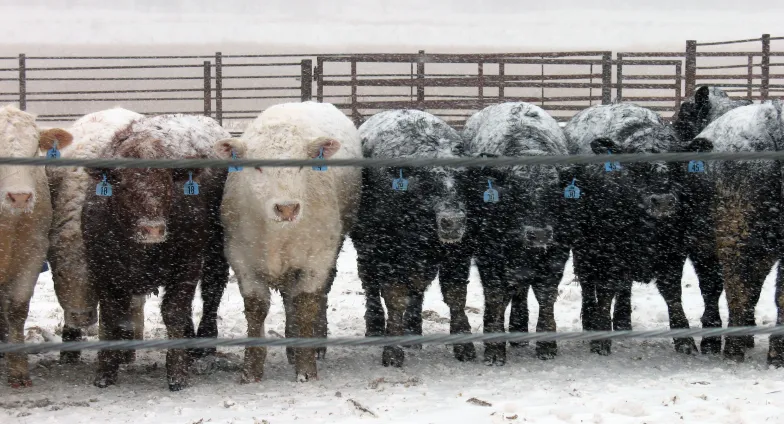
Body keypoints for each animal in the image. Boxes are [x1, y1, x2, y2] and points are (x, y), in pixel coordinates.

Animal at [81, 114, 230, 390]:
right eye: (124, 185)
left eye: (167, 183)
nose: (153, 229)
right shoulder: (102, 268)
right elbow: (112, 315)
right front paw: (106, 369)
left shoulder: (187, 263)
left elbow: (173, 312)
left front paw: (177, 372)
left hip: (217, 250)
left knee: (212, 291)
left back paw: (204, 344)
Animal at [215, 101, 362, 382]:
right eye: (257, 166)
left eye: (302, 165)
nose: (287, 208)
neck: (277, 234)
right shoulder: (241, 258)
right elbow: (256, 308)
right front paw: (251, 370)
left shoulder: (317, 258)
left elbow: (305, 304)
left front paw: (306, 369)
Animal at [352, 109, 474, 367]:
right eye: (427, 182)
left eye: (465, 180)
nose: (452, 221)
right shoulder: (389, 253)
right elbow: (395, 298)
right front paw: (392, 349)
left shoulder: (458, 254)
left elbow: (456, 297)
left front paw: (464, 344)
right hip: (366, 250)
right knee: (370, 284)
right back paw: (375, 326)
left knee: (417, 289)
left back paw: (414, 331)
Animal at [462, 102, 572, 365]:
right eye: (515, 191)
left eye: (554, 190)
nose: (538, 235)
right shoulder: (488, 257)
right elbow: (495, 296)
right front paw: (494, 349)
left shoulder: (557, 254)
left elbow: (545, 295)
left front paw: (547, 344)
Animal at [563, 102, 697, 356]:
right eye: (635, 165)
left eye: (678, 164)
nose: (662, 201)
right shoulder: (606, 250)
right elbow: (605, 291)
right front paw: (600, 337)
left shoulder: (674, 251)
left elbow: (672, 293)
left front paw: (685, 339)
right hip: (584, 250)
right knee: (588, 283)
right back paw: (590, 321)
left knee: (623, 285)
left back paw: (623, 320)